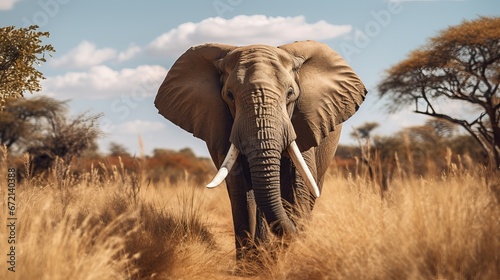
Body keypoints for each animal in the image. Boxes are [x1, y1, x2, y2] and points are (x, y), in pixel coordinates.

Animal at [155, 39, 368, 260]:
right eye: (230, 96)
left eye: (290, 94)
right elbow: (241, 189)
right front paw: (253, 263)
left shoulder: (305, 122)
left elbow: (298, 185)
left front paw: (285, 256)